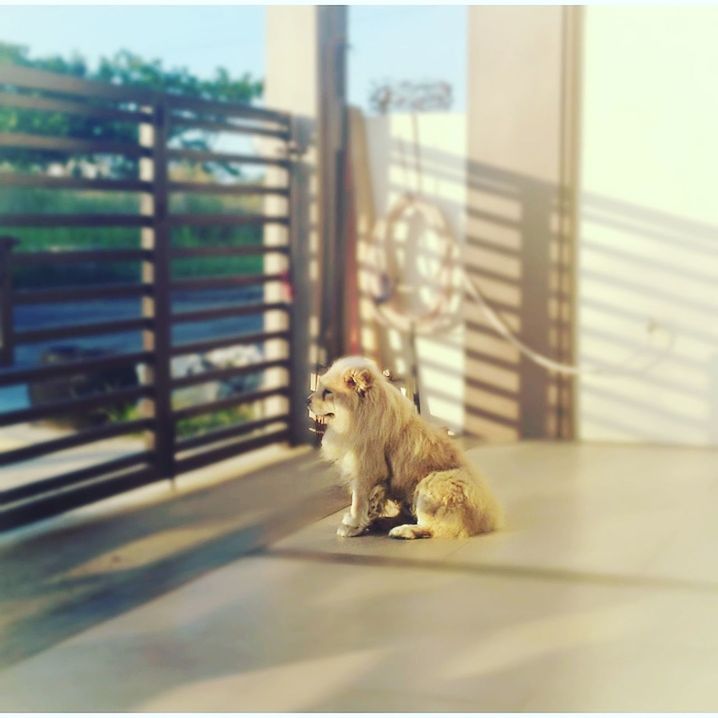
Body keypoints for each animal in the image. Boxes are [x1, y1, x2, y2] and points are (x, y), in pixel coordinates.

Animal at [310, 358, 506, 536]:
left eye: (327, 392)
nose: (307, 400)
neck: (358, 415)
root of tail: (489, 520)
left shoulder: (366, 471)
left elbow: (357, 502)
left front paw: (351, 526)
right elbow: (370, 501)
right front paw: (367, 519)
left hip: (433, 481)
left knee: (432, 527)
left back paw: (401, 531)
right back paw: (384, 522)